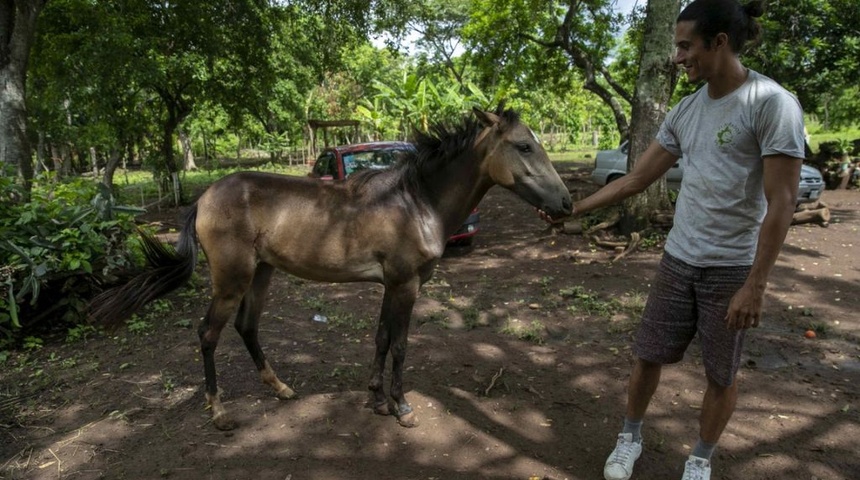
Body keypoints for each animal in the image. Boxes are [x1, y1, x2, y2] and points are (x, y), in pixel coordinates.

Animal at [90, 106, 572, 432]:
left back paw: (280, 388)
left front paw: (377, 399)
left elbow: (381, 338)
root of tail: (205, 197)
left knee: (247, 327)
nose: (565, 203)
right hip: (232, 280)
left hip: (261, 274)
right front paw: (402, 407)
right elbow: (400, 345)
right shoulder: (406, 285)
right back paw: (220, 412)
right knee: (208, 333)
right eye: (524, 145)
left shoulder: (390, 285)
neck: (416, 202)